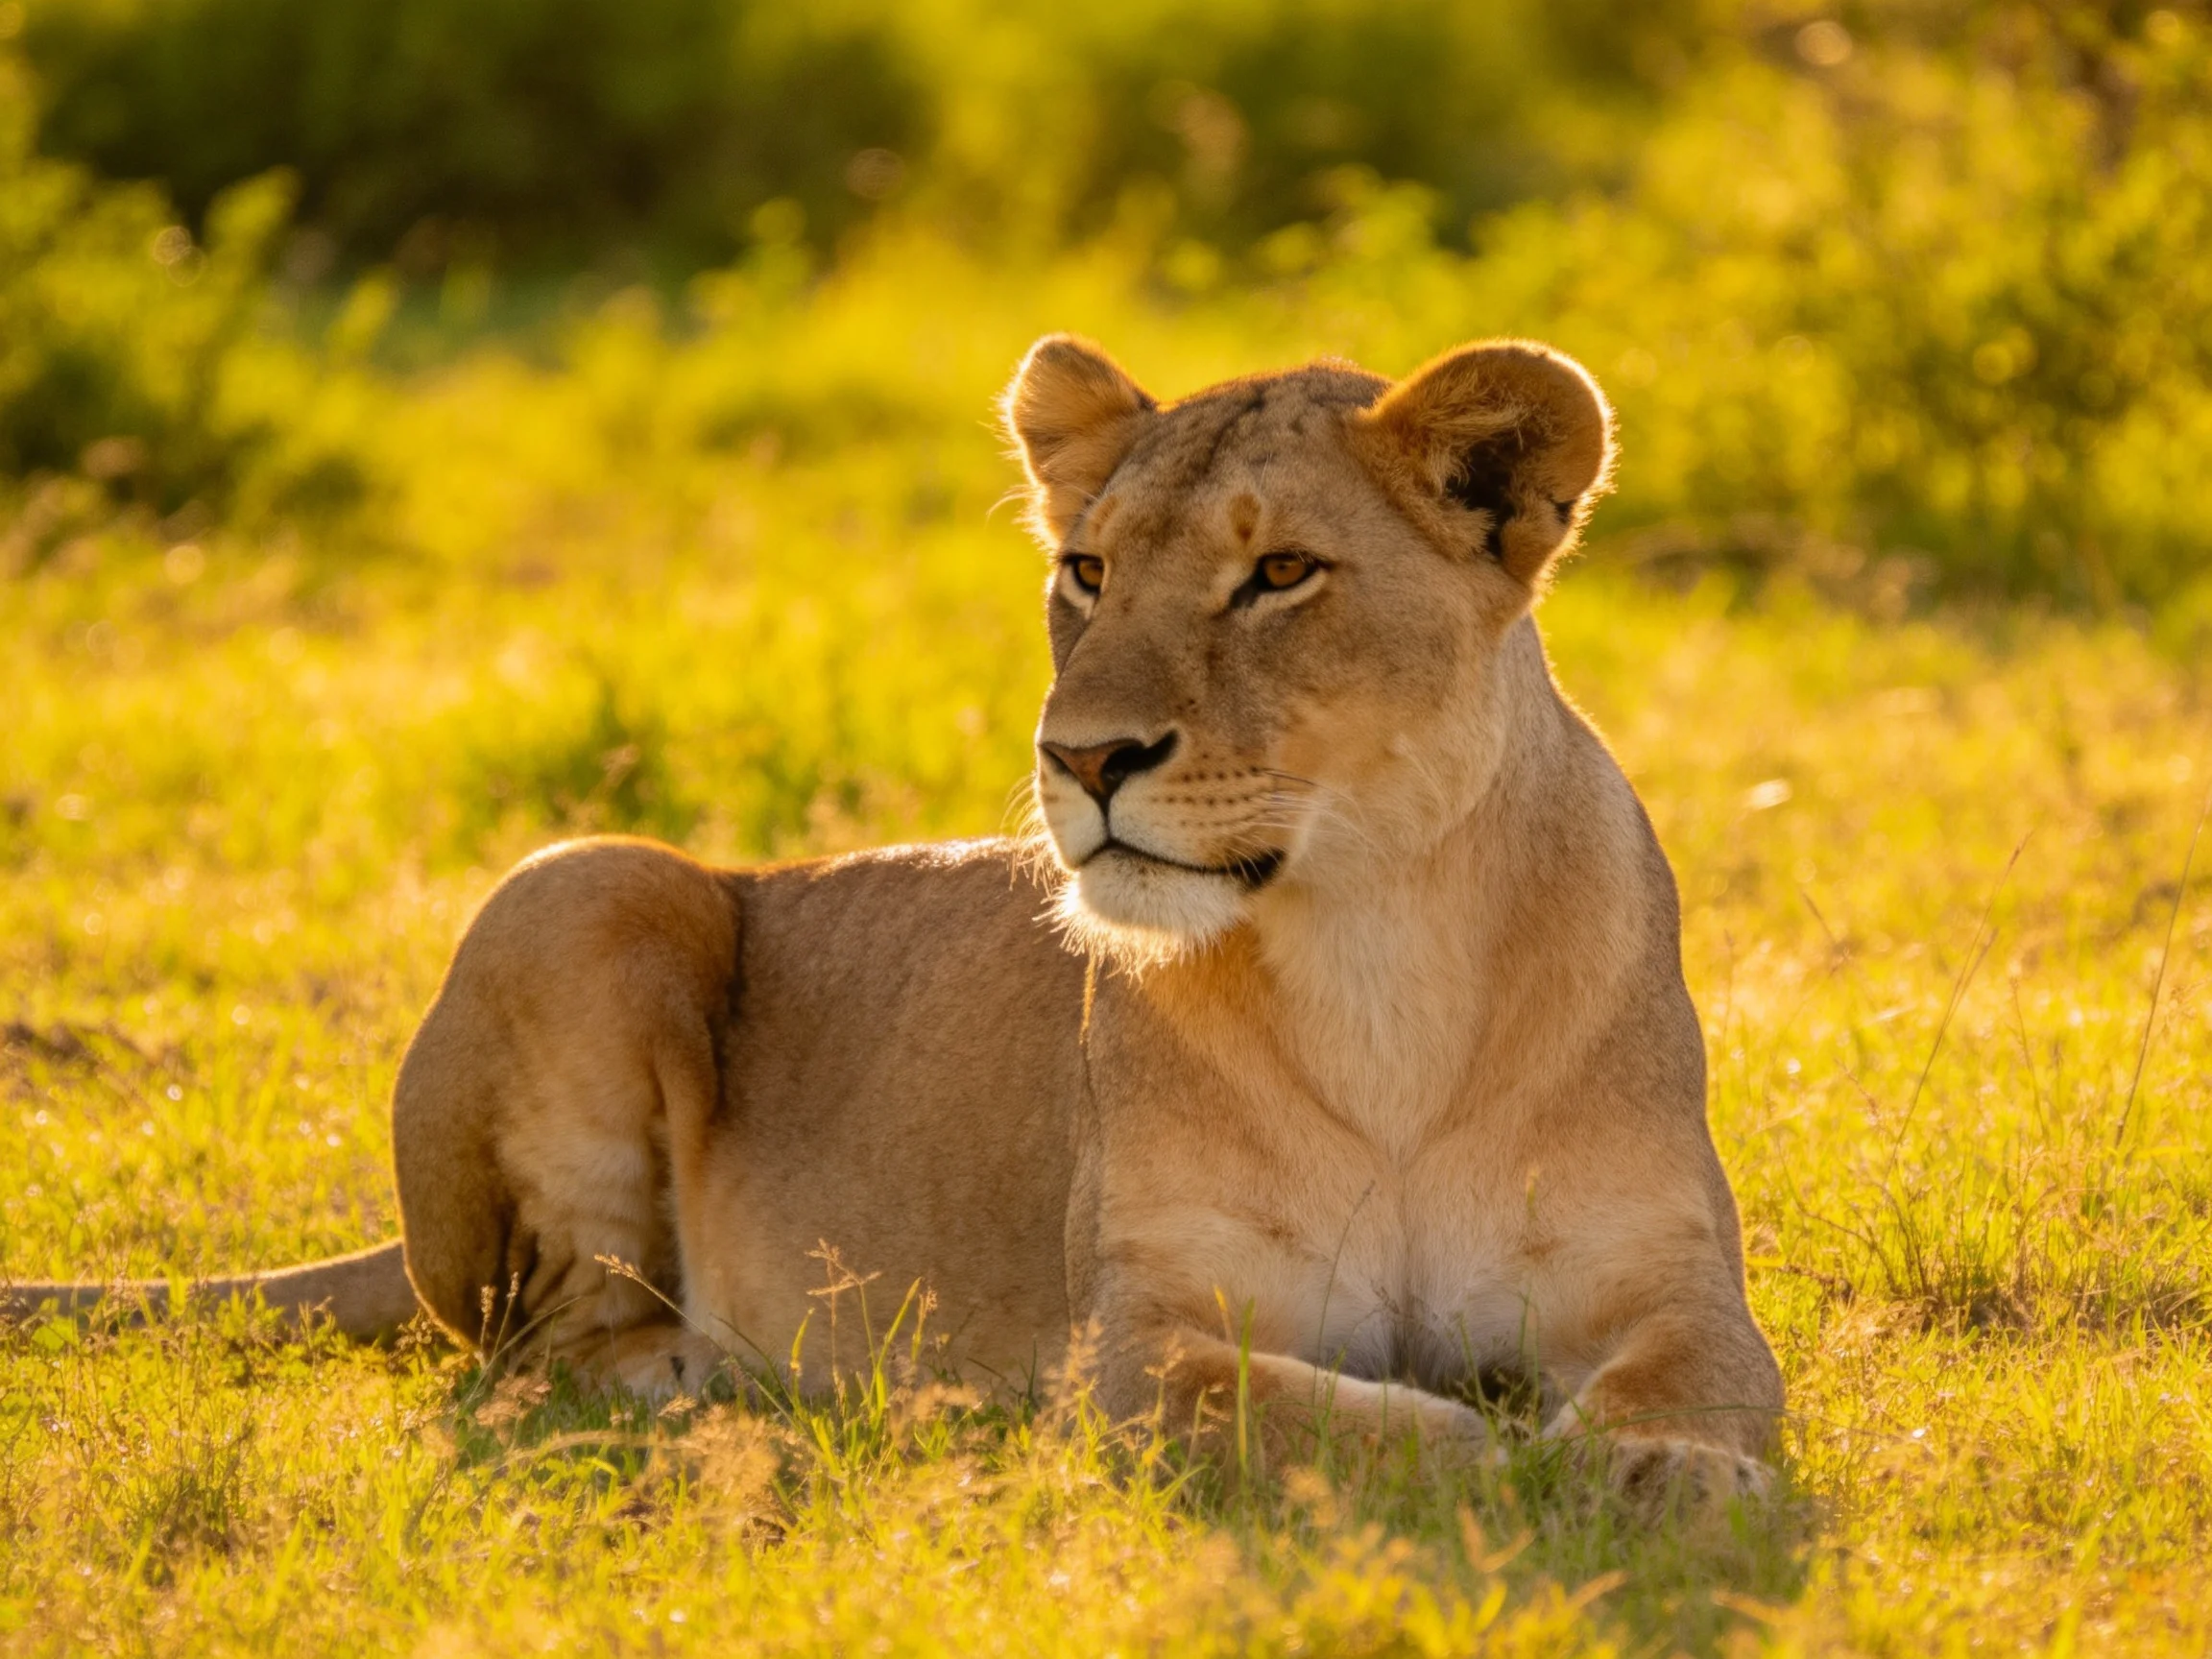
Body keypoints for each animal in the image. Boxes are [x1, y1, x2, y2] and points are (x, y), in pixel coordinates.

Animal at [5, 336, 1782, 1506]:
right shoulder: (1132, 1343)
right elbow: (1335, 1417)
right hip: (584, 881)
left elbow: (1702, 1381)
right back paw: (748, 1391)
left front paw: (1653, 1467)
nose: (1083, 757)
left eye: (1281, 572)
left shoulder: (1672, 1277)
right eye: (1083, 570)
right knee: (545, 1350)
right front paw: (1502, 1454)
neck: (1376, 953)